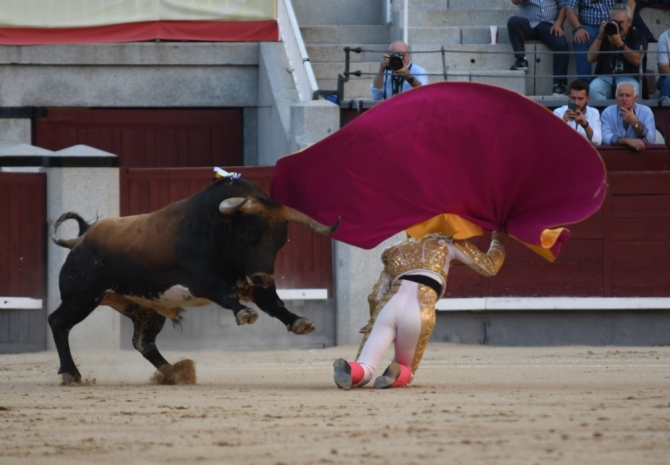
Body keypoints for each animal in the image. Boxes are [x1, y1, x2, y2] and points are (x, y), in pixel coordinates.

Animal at [49, 177, 342, 380]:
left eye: (280, 241)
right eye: (248, 235)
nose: (262, 277)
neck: (218, 227)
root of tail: (80, 241)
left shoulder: (253, 284)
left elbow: (274, 304)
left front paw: (299, 322)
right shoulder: (203, 280)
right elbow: (226, 294)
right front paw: (244, 313)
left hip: (145, 309)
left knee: (143, 343)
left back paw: (174, 373)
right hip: (82, 298)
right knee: (58, 322)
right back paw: (71, 373)